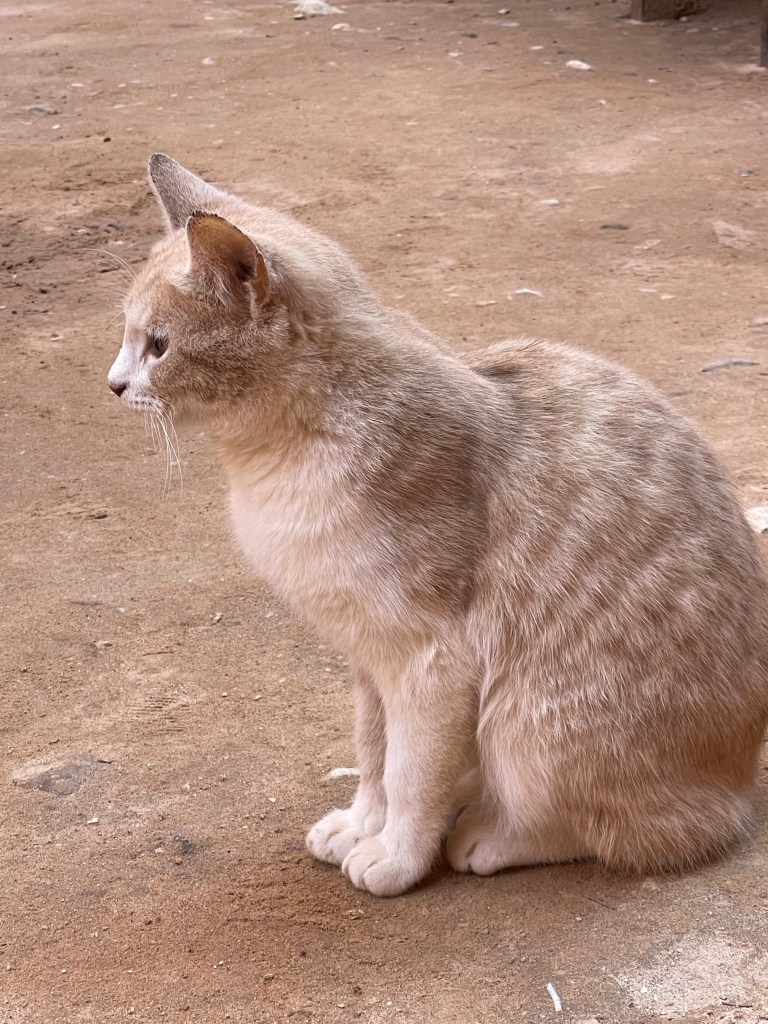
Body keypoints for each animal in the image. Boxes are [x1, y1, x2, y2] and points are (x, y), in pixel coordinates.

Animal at [107, 154, 768, 897]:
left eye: (158, 346)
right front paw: (361, 826)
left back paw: (490, 834)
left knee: (631, 831)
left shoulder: (429, 664)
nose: (113, 383)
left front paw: (395, 856)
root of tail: (744, 781)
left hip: (526, 724)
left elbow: (410, 776)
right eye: (131, 340)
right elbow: (373, 756)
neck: (274, 456)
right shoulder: (367, 658)